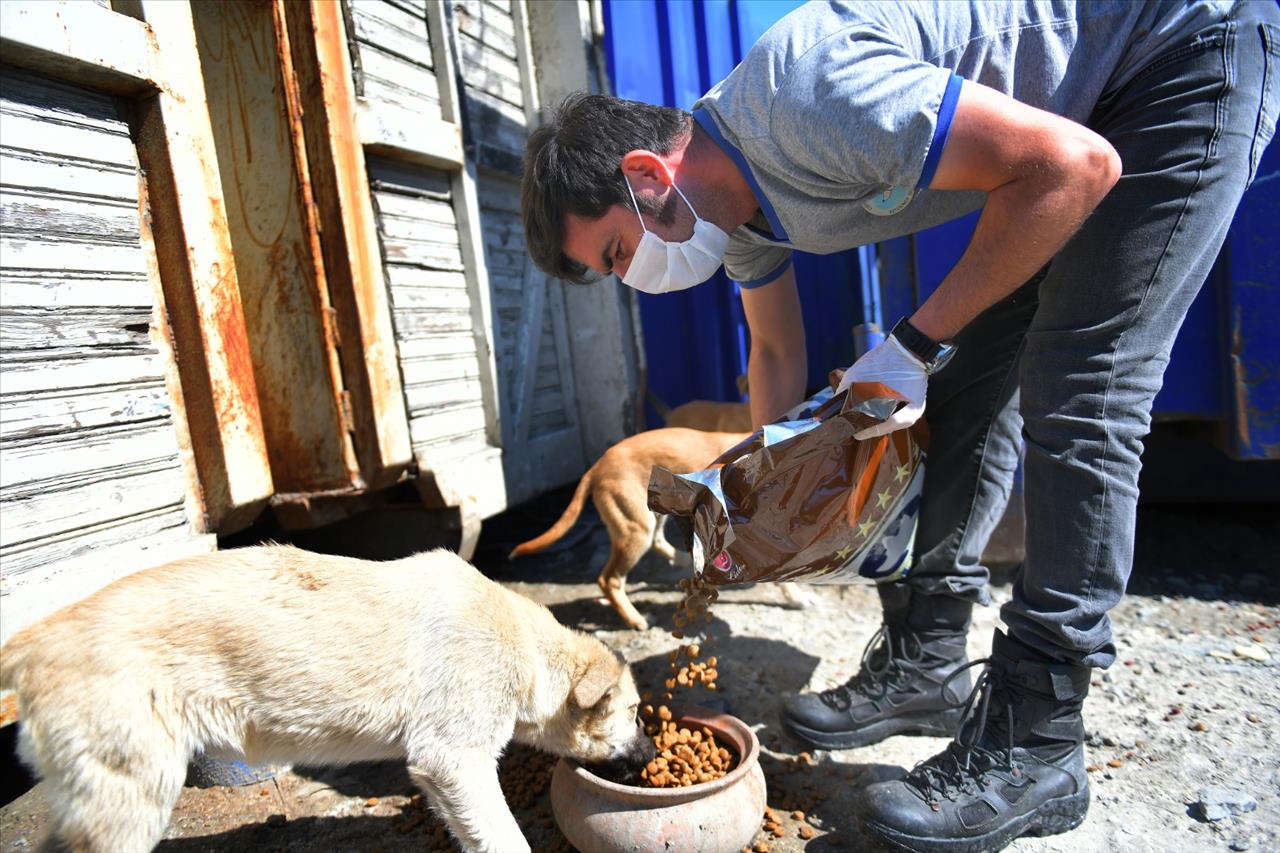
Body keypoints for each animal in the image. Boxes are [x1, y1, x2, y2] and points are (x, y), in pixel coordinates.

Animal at [512, 427, 747, 627]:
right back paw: (636, 619)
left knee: (658, 542)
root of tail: (597, 466)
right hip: (637, 529)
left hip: (655, 513)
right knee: (610, 580)